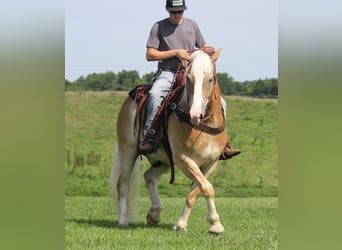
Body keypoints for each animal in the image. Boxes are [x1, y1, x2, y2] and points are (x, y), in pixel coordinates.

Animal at [109, 49, 227, 234]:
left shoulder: (211, 162)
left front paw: (196, 224)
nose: (195, 115)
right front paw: (214, 223)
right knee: (123, 184)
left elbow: (197, 191)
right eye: (188, 78)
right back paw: (123, 219)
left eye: (210, 79)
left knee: (149, 176)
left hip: (163, 160)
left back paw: (155, 213)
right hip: (128, 149)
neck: (202, 127)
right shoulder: (184, 160)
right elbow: (207, 188)